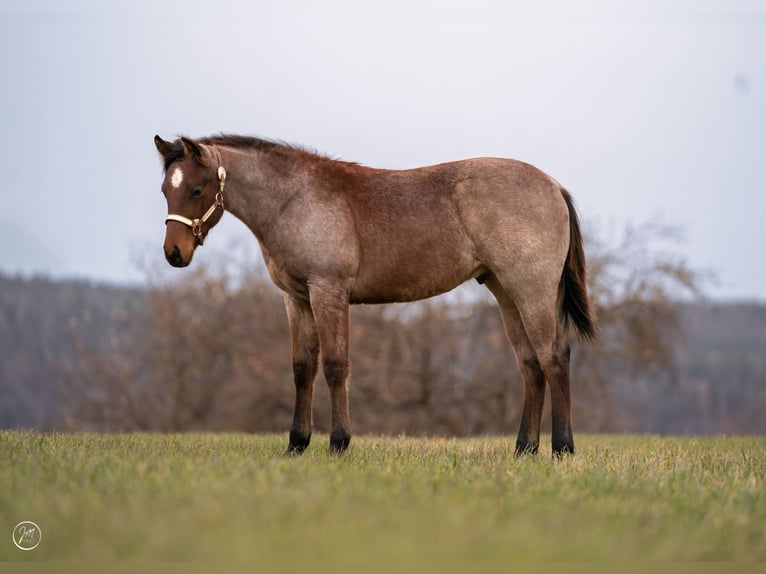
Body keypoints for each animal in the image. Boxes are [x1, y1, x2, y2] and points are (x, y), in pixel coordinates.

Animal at [154, 134, 597, 456]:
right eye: (164, 190)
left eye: (197, 189)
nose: (174, 254)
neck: (295, 200)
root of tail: (554, 187)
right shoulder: (296, 299)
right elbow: (302, 368)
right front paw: (296, 444)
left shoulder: (328, 291)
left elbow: (335, 365)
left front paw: (338, 443)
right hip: (505, 291)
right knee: (530, 365)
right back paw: (524, 449)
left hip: (531, 289)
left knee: (554, 357)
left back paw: (562, 449)